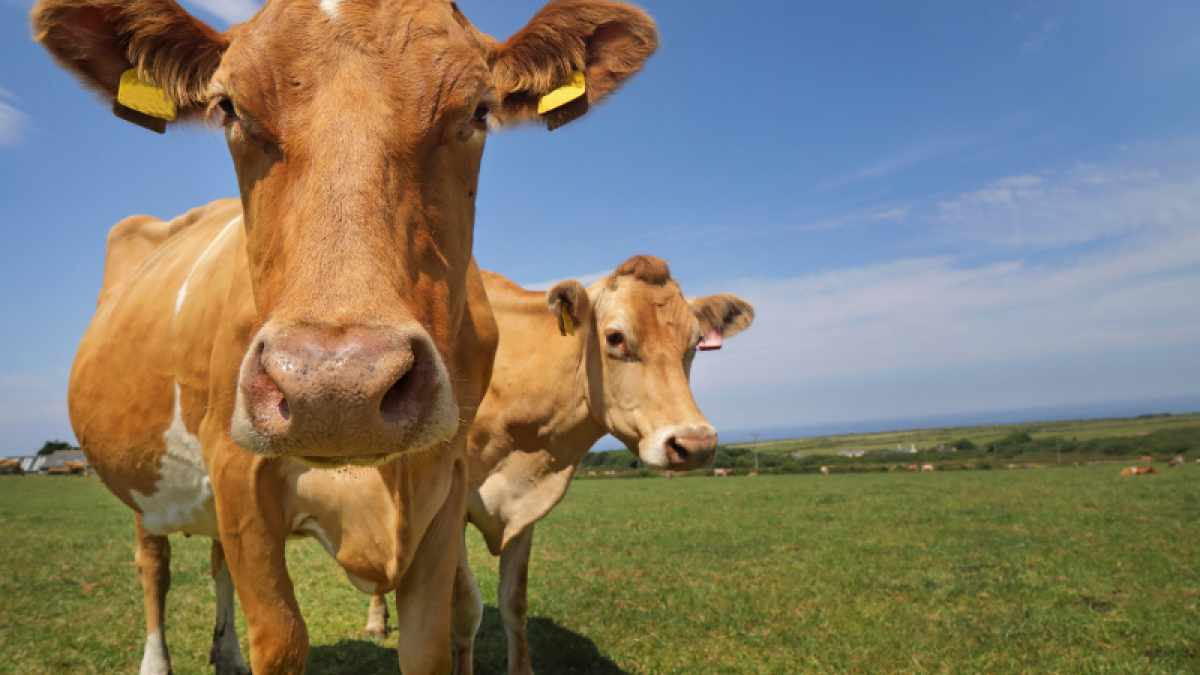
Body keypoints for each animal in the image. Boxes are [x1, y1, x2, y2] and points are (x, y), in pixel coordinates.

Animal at [31, 0, 658, 672]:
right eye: (228, 108)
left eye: (480, 110)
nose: (336, 389)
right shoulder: (237, 472)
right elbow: (280, 641)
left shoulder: (448, 480)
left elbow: (431, 642)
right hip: (141, 480)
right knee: (154, 564)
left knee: (215, 559)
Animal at [361, 258, 753, 673]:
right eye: (615, 337)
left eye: (696, 341)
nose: (696, 444)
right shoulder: (451, 505)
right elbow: (465, 609)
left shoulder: (526, 503)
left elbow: (514, 603)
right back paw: (376, 621)